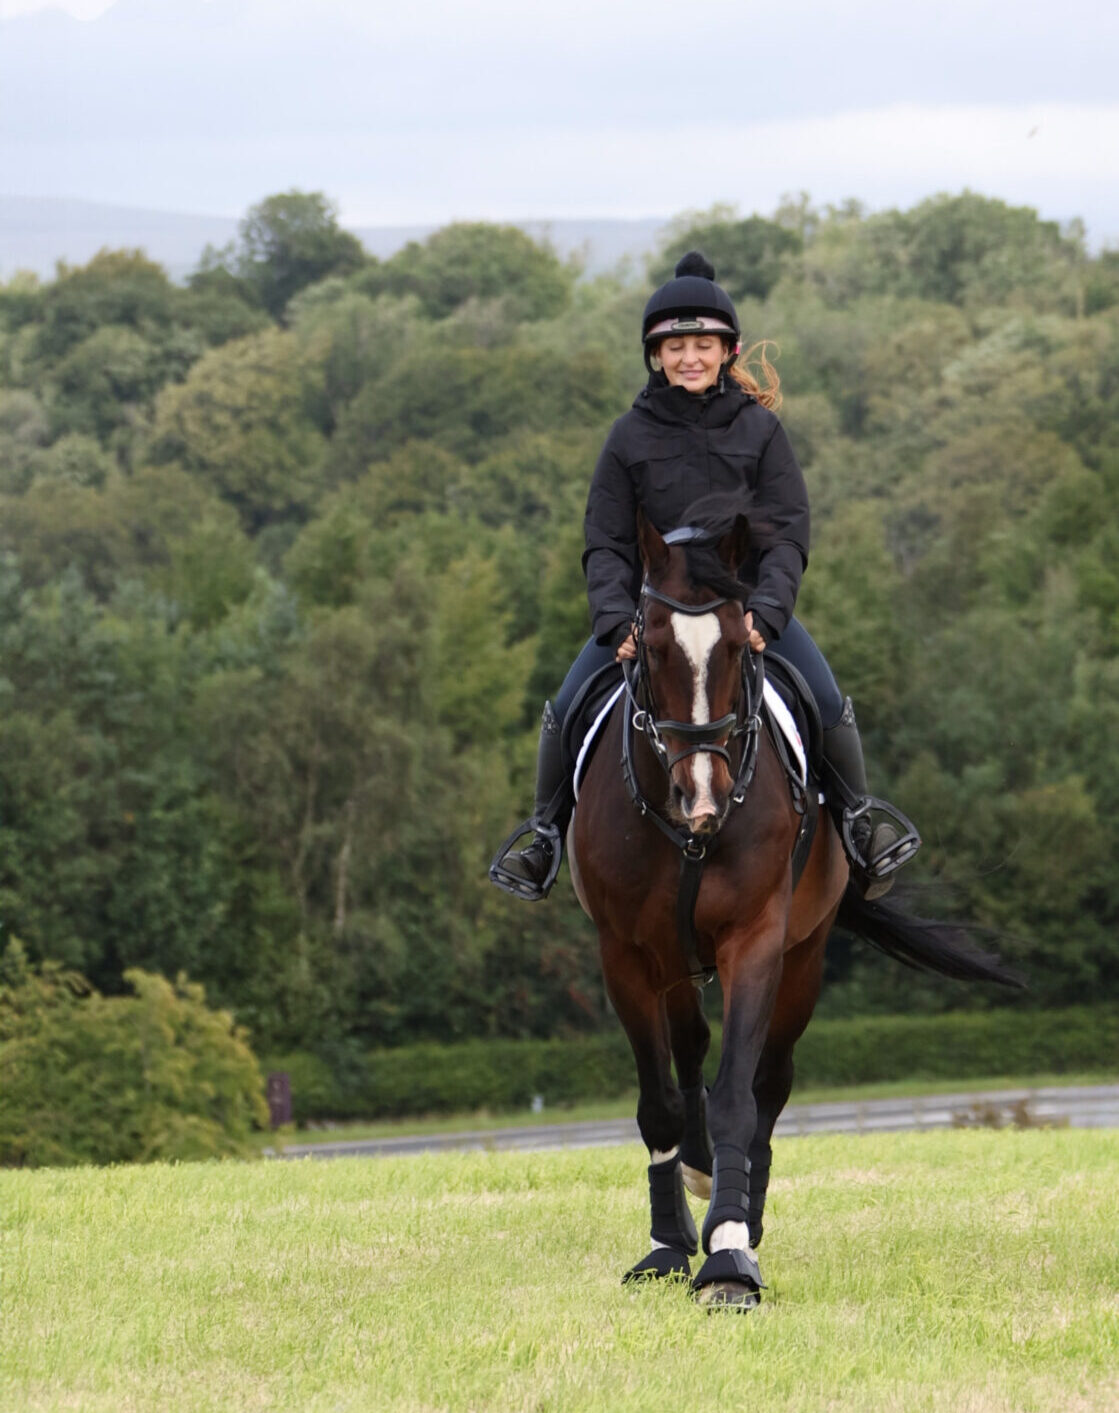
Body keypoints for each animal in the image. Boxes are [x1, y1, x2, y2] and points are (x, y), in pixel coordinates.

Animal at [568, 503, 1019, 1310]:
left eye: (736, 647)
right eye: (651, 647)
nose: (703, 798)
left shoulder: (755, 939)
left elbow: (739, 1097)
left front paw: (727, 1255)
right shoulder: (623, 953)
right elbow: (660, 1100)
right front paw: (666, 1246)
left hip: (801, 960)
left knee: (768, 1082)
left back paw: (742, 1211)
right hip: (675, 962)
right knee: (690, 1053)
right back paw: (699, 1176)